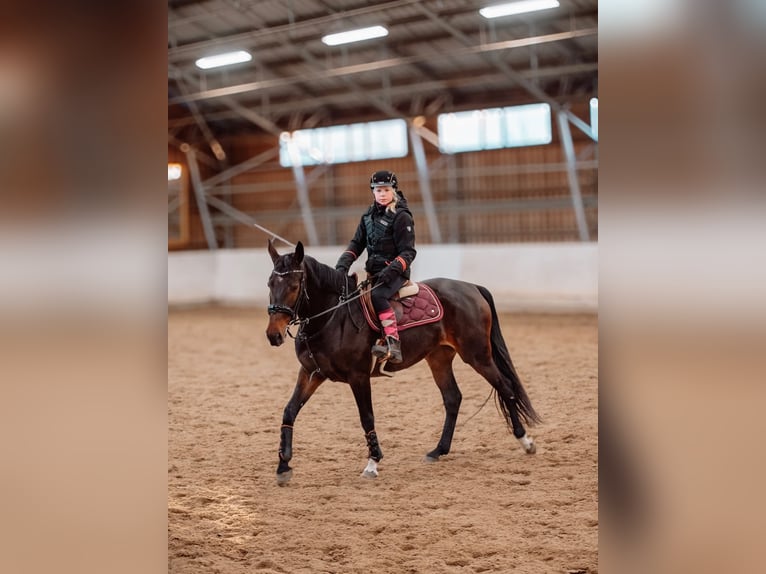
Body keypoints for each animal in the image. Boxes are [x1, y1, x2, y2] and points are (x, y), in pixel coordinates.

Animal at [266, 240, 540, 485]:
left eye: (294, 286)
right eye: (270, 283)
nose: (273, 335)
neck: (334, 316)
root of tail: (471, 287)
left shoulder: (358, 376)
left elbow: (367, 417)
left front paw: (372, 463)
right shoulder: (312, 372)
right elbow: (289, 410)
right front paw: (283, 466)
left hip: (477, 355)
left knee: (505, 388)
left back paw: (525, 442)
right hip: (439, 358)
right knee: (453, 398)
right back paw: (438, 450)